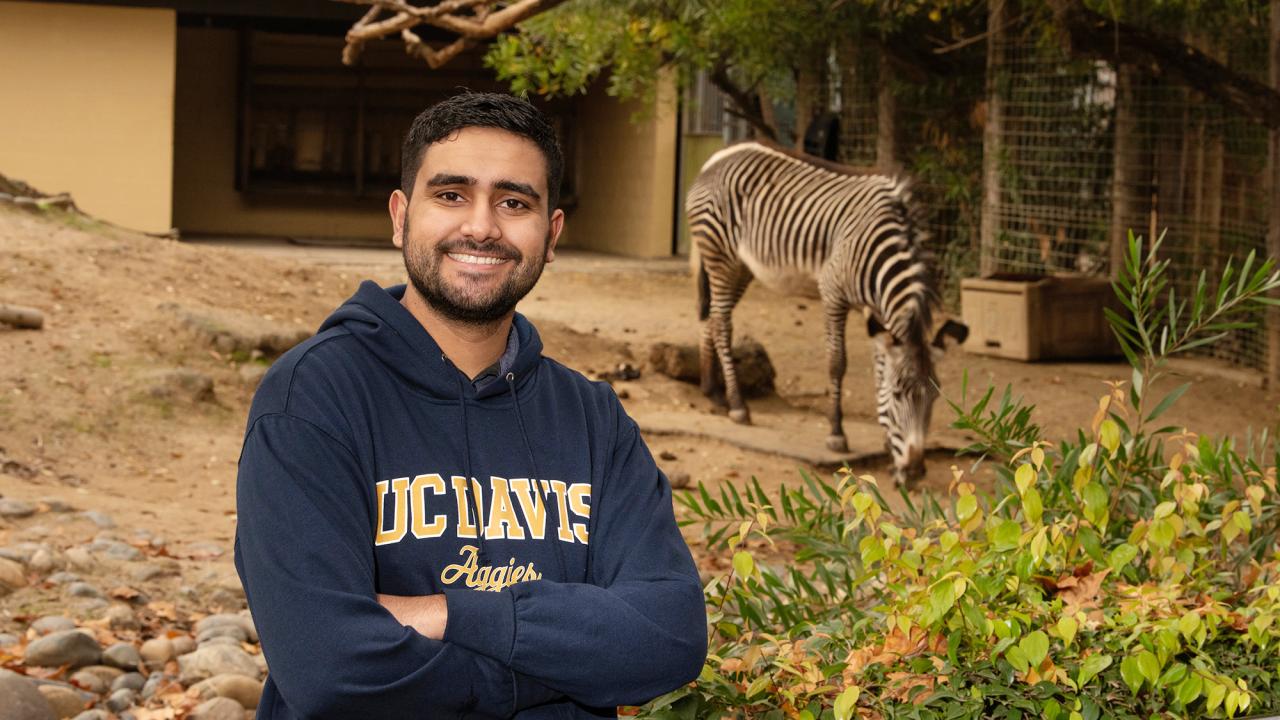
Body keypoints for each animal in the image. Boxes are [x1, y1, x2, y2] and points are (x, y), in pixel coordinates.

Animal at [686, 139, 962, 484]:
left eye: (934, 398)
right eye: (900, 395)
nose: (914, 472)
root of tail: (719, 156)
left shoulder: (876, 312)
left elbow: (879, 369)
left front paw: (887, 446)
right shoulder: (833, 294)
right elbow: (837, 363)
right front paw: (837, 433)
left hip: (741, 266)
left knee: (711, 318)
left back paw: (713, 391)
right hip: (721, 256)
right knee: (722, 323)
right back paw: (737, 406)